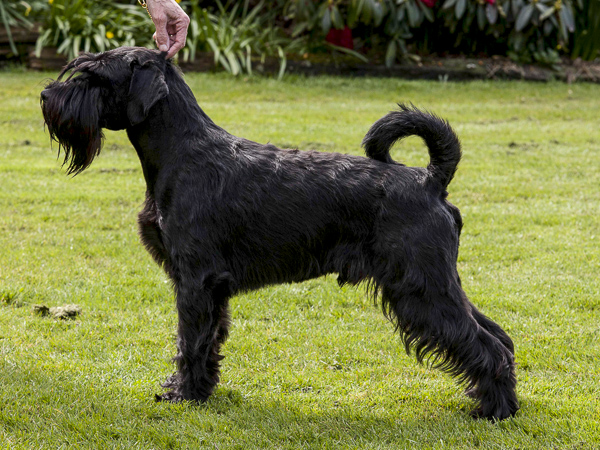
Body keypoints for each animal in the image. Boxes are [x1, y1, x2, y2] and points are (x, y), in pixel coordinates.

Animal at [39, 47, 516, 420]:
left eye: (94, 75)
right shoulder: (212, 288)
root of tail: (430, 180)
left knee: (484, 344)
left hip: (420, 286)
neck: (180, 151)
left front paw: (184, 395)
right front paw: (201, 391)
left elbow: (189, 341)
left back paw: (494, 411)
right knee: (498, 336)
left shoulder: (194, 280)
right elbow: (210, 340)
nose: (46, 96)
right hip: (435, 283)